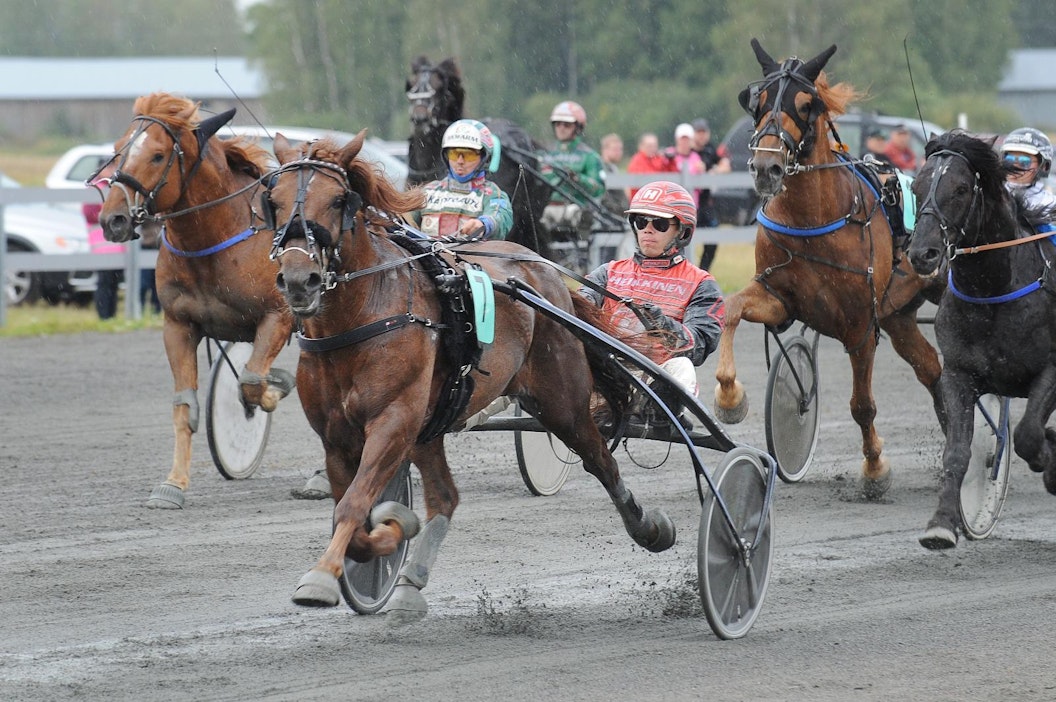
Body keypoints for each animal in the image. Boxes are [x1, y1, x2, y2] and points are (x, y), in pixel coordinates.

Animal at [98, 93, 296, 509]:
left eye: (158, 155)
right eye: (118, 148)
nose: (113, 219)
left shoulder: (279, 316)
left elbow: (251, 381)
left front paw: (271, 394)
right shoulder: (178, 325)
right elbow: (185, 404)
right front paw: (173, 484)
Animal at [265, 131, 675, 621]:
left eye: (339, 199)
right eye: (273, 199)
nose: (298, 279)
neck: (362, 315)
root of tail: (542, 269)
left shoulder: (393, 421)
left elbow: (354, 503)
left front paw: (324, 577)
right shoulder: (337, 436)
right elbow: (356, 514)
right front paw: (391, 529)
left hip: (561, 404)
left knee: (601, 460)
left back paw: (649, 528)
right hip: (432, 424)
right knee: (446, 496)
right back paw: (410, 584)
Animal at [712, 38, 945, 499]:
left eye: (806, 105)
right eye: (757, 101)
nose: (766, 167)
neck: (813, 221)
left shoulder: (860, 325)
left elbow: (862, 405)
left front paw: (875, 468)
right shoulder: (780, 300)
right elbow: (731, 309)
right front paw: (730, 398)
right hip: (898, 317)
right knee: (932, 368)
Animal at [908, 131, 1056, 548]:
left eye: (960, 189)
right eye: (916, 185)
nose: (922, 253)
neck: (993, 290)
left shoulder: (1051, 370)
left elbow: (1026, 435)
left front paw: (1048, 463)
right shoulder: (959, 375)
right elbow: (957, 452)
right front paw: (942, 523)